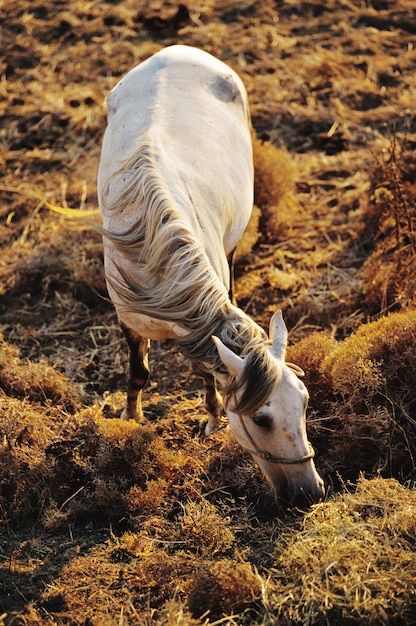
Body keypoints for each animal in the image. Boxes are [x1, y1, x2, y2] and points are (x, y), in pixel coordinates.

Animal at [98, 45, 324, 508]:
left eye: (306, 401)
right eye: (262, 419)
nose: (310, 492)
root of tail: (178, 50)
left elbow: (205, 370)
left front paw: (213, 420)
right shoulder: (128, 320)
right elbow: (138, 371)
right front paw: (130, 418)